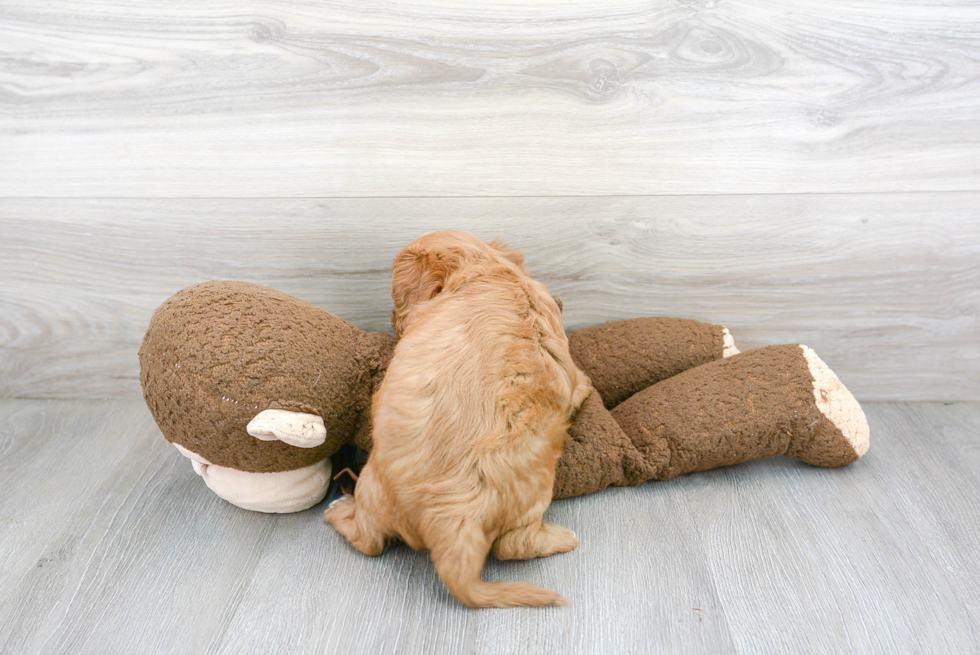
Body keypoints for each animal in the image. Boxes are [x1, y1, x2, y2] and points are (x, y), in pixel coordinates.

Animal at [326, 232, 592, 608]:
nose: (392, 320)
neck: (489, 269)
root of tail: (455, 520)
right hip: (536, 493)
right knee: (514, 545)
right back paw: (561, 538)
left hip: (373, 486)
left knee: (370, 541)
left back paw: (338, 509)